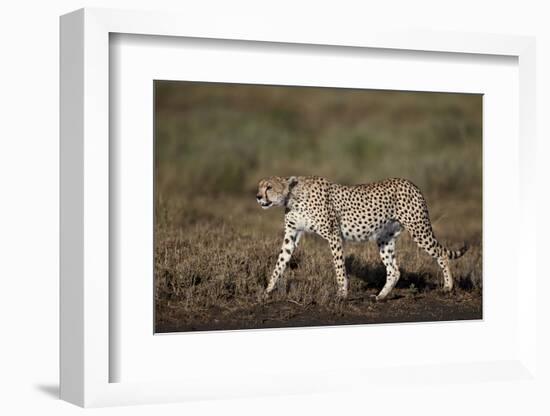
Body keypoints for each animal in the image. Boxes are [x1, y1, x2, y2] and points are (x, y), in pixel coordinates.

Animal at [258, 176, 470, 300]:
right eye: (260, 187)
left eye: (269, 187)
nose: (258, 197)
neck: (292, 197)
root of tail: (410, 183)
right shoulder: (291, 236)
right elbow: (280, 263)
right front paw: (268, 290)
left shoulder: (334, 235)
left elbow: (339, 267)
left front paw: (342, 294)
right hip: (385, 238)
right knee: (394, 270)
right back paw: (381, 296)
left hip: (419, 229)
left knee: (441, 254)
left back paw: (448, 287)